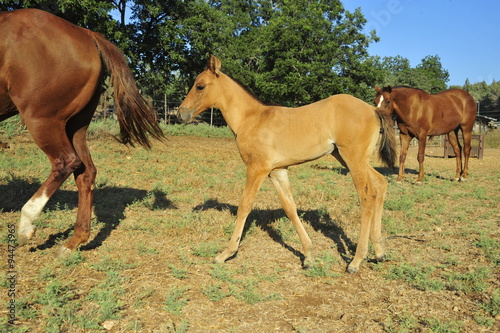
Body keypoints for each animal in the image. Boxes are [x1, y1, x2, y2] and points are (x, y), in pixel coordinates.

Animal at [0, 9, 164, 254]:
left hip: (42, 120)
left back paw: (26, 226)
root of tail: (87, 34)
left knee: (66, 162)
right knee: (86, 172)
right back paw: (74, 241)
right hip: (75, 126)